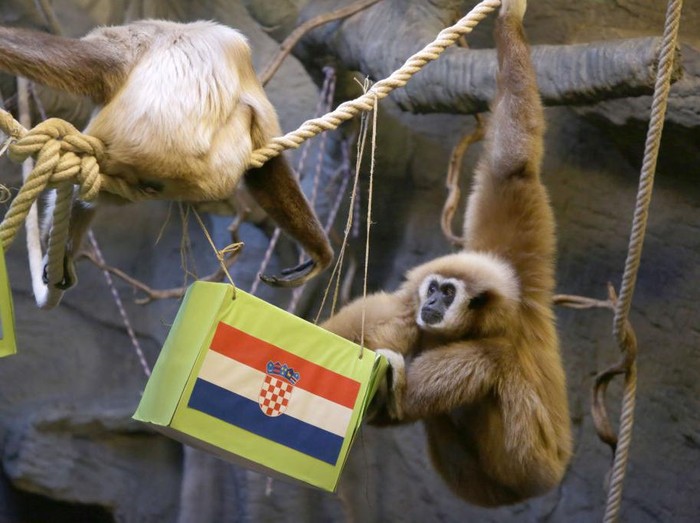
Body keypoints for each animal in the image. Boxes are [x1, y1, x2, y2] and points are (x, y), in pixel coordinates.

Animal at [322, 0, 572, 507]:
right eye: (434, 288)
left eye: (448, 293)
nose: (432, 301)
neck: (490, 318)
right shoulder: (500, 262)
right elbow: (511, 167)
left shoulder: (516, 277)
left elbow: (515, 166)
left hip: (527, 464)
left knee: (491, 359)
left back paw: (397, 393)